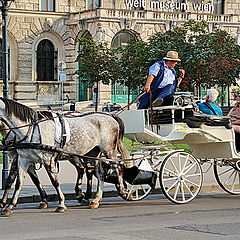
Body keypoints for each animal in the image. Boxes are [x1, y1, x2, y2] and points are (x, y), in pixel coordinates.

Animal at [0, 97, 129, 216]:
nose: (5, 142)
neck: (31, 129)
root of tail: (111, 116)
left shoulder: (47, 159)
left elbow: (54, 181)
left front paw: (61, 203)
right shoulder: (23, 159)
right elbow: (18, 183)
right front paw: (8, 206)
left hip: (108, 150)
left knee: (117, 166)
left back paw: (122, 191)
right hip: (91, 153)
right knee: (97, 172)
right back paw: (95, 199)